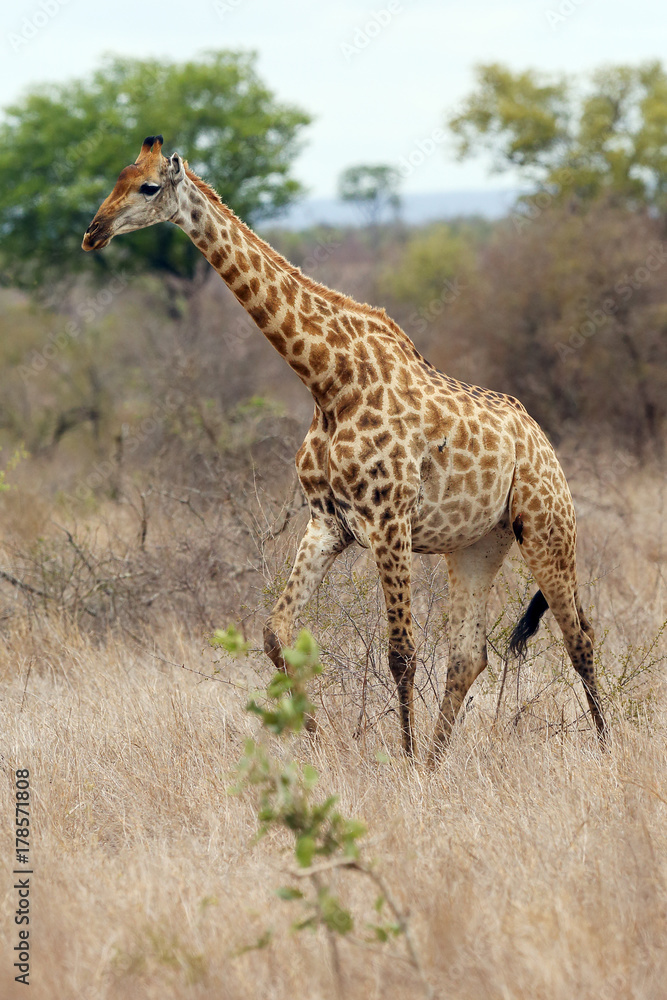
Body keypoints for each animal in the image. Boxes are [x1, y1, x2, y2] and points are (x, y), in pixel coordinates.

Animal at [82, 136, 607, 760]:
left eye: (148, 188)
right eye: (116, 178)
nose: (93, 232)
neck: (329, 381)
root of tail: (544, 443)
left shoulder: (389, 521)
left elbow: (401, 653)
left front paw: (402, 761)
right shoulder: (328, 522)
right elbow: (275, 633)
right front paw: (315, 735)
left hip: (547, 527)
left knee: (580, 638)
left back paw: (606, 749)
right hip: (479, 543)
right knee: (468, 655)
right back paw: (439, 760)